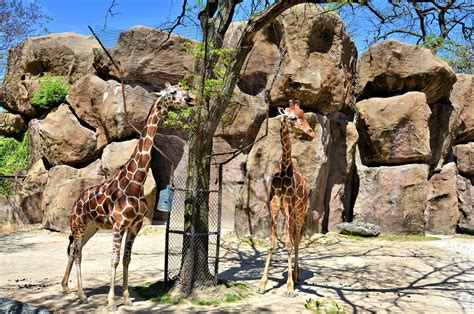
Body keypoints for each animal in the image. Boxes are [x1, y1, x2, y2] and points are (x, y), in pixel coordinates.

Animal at [61, 81, 194, 312]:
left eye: (182, 90)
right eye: (173, 92)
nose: (191, 98)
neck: (136, 182)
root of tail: (76, 203)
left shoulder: (134, 226)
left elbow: (126, 259)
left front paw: (125, 298)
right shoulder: (118, 225)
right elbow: (114, 259)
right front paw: (111, 302)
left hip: (91, 227)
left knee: (75, 250)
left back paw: (67, 287)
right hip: (78, 225)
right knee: (77, 253)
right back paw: (81, 295)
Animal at [258, 100, 316, 296]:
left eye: (304, 116)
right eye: (293, 118)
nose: (311, 132)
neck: (284, 170)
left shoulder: (290, 204)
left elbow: (290, 243)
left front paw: (290, 287)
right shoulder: (275, 205)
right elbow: (272, 242)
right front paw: (262, 284)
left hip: (300, 209)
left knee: (297, 238)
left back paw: (297, 276)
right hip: (287, 212)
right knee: (291, 236)